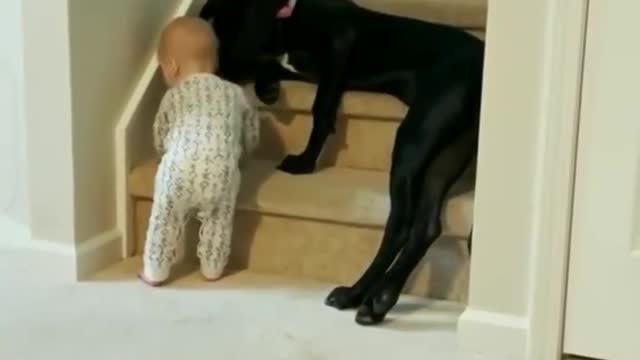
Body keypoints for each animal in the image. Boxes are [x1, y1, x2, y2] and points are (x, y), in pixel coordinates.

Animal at [200, 0, 484, 326]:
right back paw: (380, 300)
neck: (290, 17)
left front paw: (306, 160)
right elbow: (273, 67)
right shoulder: (307, 68)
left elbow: (322, 107)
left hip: (417, 134)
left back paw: (355, 294)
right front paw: (268, 89)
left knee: (400, 226)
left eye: (224, 34)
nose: (214, 72)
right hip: (448, 150)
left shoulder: (338, 44)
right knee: (426, 227)